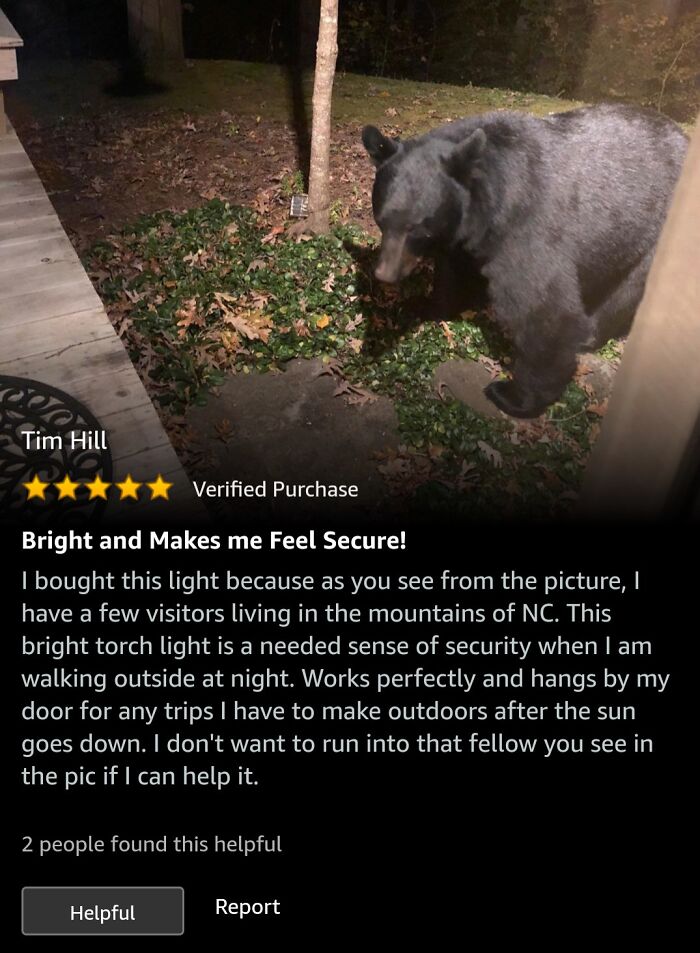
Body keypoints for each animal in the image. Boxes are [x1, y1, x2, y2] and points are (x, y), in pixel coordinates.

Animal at [362, 105, 688, 418]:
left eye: (418, 228)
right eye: (382, 220)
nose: (386, 273)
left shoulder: (526, 227)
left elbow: (545, 310)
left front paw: (512, 396)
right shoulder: (464, 238)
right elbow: (453, 275)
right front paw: (423, 304)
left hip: (656, 242)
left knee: (623, 295)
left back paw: (590, 334)